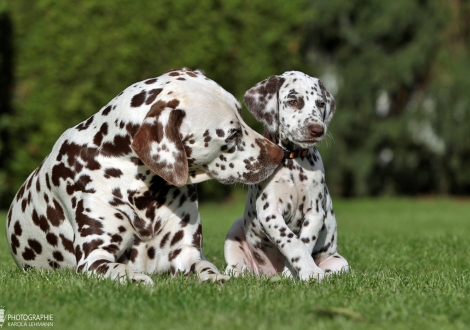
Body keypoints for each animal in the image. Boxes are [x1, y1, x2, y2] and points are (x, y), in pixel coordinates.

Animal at [5, 67, 282, 284]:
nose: (280, 155)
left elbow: (206, 267)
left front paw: (215, 278)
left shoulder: (187, 253)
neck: (139, 186)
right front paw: (135, 278)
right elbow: (120, 269)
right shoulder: (94, 259)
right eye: (233, 134)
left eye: (242, 116)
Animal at [224, 71, 348, 282]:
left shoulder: (315, 212)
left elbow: (303, 242)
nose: (318, 129)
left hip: (339, 263)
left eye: (321, 103)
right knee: (236, 266)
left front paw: (301, 272)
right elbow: (291, 241)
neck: (292, 162)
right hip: (235, 229)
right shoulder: (270, 212)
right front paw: (308, 271)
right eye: (293, 101)